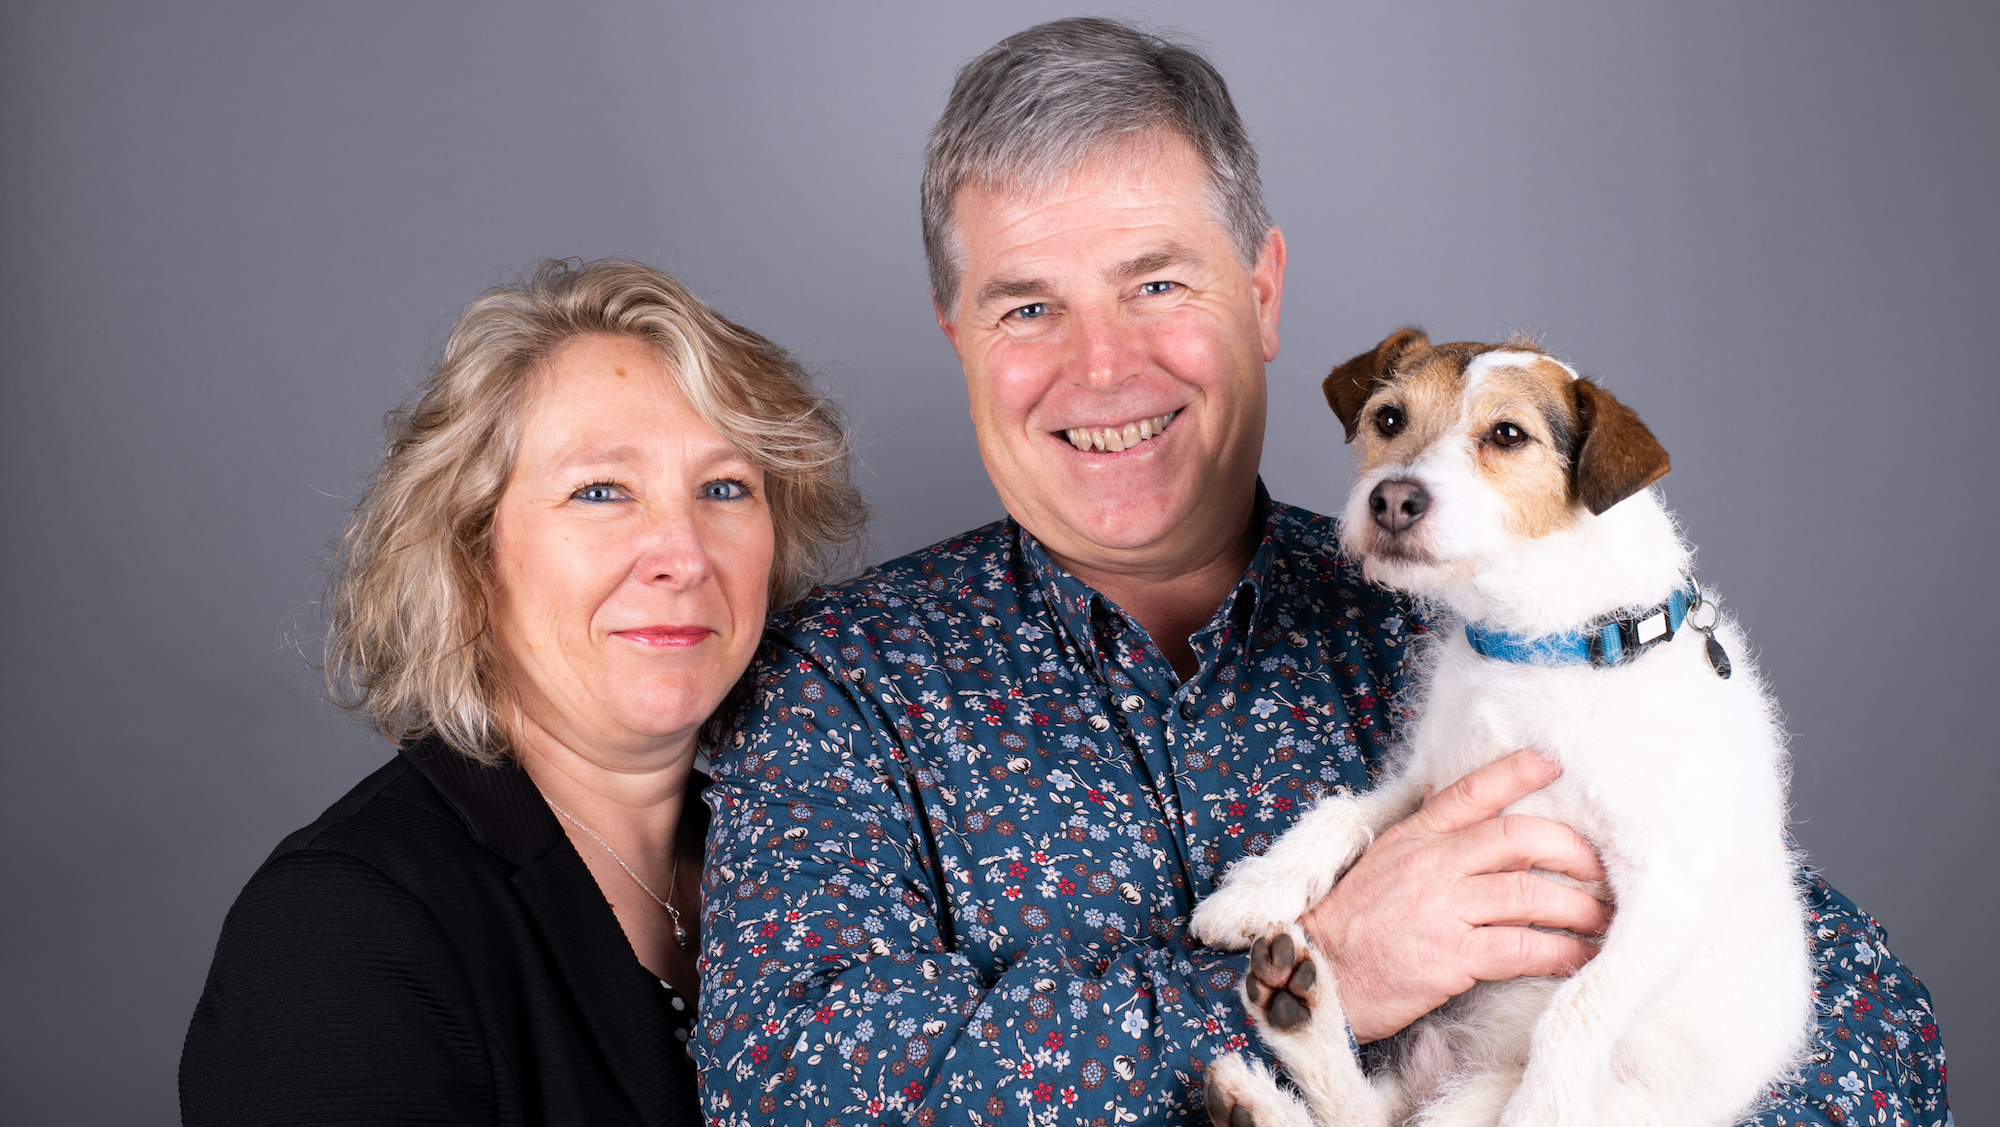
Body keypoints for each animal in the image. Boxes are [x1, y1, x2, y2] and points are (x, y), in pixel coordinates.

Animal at [1189, 329, 1814, 1127]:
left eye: (1508, 435)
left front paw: (1545, 1107)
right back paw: (1285, 1031)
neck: (1543, 648)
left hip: (1491, 1101)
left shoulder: (1669, 885)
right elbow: (1342, 812)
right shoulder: (1431, 782)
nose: (1392, 498)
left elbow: (1579, 1001)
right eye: (1389, 418)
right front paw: (1256, 891)